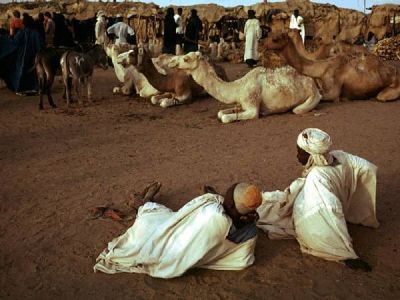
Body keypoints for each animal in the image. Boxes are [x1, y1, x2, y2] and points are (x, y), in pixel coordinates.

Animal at [167, 51, 320, 123]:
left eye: (186, 58)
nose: (171, 61)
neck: (238, 87)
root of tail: (313, 83)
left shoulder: (252, 105)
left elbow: (226, 118)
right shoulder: (241, 104)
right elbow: (221, 113)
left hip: (311, 96)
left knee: (297, 109)